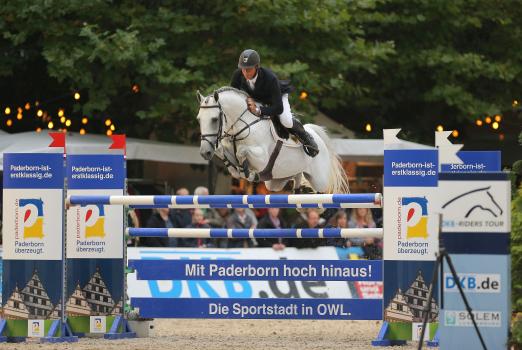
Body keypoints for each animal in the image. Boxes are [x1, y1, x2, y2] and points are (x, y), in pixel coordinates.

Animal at [195, 86, 350, 193]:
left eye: (214, 119)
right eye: (199, 120)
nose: (204, 153)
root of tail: (317, 136)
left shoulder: (262, 159)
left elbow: (241, 152)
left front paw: (250, 173)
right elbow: (224, 154)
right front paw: (242, 170)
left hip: (320, 180)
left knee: (324, 189)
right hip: (276, 182)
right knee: (296, 175)